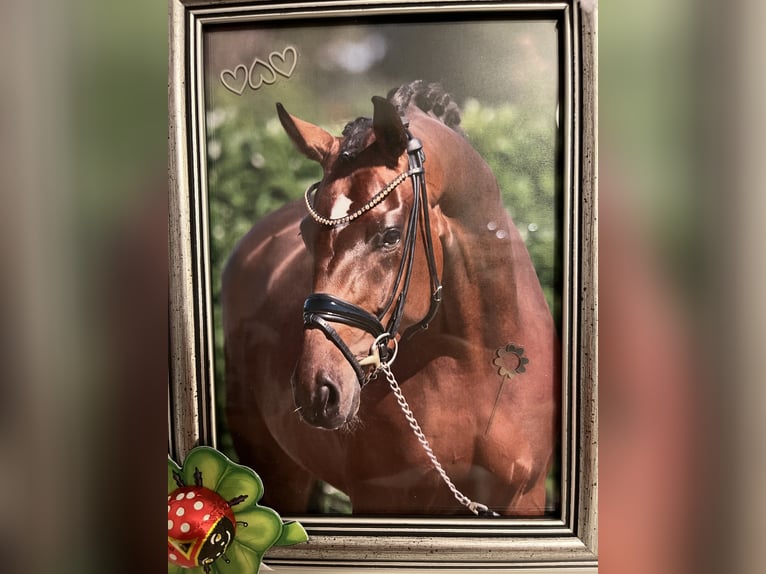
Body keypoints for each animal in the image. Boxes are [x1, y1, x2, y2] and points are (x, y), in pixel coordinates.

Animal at [222, 81, 560, 516]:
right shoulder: (382, 497)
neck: (475, 362)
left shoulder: (524, 500)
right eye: (306, 235)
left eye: (391, 235)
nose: (317, 389)